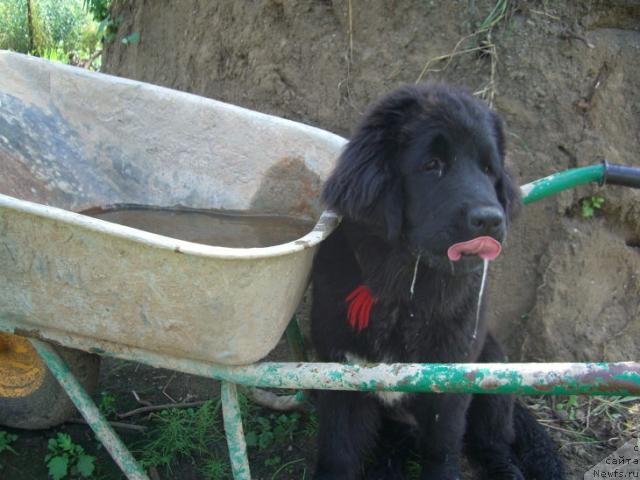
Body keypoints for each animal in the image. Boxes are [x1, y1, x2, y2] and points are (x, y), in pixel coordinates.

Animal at [310, 84, 564, 480]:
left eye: (488, 169)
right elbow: (338, 452)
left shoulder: (450, 383)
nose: (490, 220)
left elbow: (441, 451)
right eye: (432, 166)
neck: (406, 294)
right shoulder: (340, 377)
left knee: (494, 443)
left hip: (493, 369)